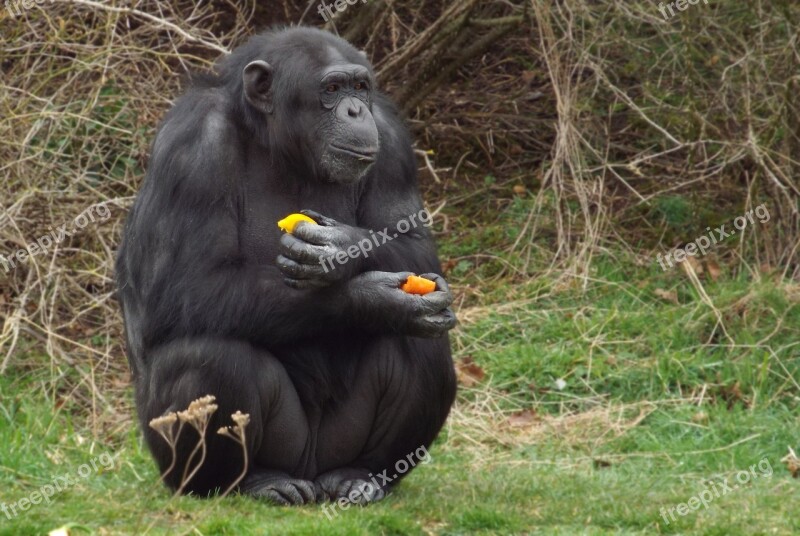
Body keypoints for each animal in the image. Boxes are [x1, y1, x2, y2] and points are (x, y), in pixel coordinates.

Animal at [116, 25, 460, 504]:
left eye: (360, 87)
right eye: (331, 90)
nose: (355, 110)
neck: (280, 145)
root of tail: (312, 472)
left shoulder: (390, 140)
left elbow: (417, 246)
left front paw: (344, 247)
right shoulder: (191, 147)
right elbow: (184, 286)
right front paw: (371, 296)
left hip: (337, 443)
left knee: (420, 343)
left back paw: (360, 475)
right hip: (250, 452)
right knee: (208, 356)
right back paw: (253, 481)